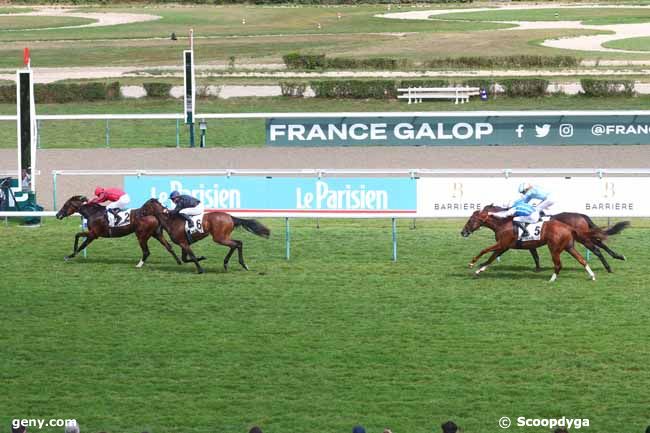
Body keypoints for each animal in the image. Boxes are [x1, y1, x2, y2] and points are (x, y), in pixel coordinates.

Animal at [140, 198, 270, 274]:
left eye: (145, 205)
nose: (139, 212)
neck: (170, 221)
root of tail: (230, 217)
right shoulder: (184, 243)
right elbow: (186, 258)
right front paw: (202, 258)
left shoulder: (183, 243)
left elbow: (191, 256)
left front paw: (200, 269)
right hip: (223, 237)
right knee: (237, 243)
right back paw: (230, 264)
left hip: (219, 238)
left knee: (237, 244)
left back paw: (239, 264)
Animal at [458, 205, 596, 280]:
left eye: (471, 220)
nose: (463, 232)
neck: (502, 224)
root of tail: (568, 227)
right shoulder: (504, 246)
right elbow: (492, 257)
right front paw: (479, 270)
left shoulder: (502, 244)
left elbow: (484, 250)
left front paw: (472, 263)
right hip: (569, 246)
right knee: (582, 260)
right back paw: (592, 275)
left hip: (554, 248)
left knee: (559, 264)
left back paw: (552, 279)